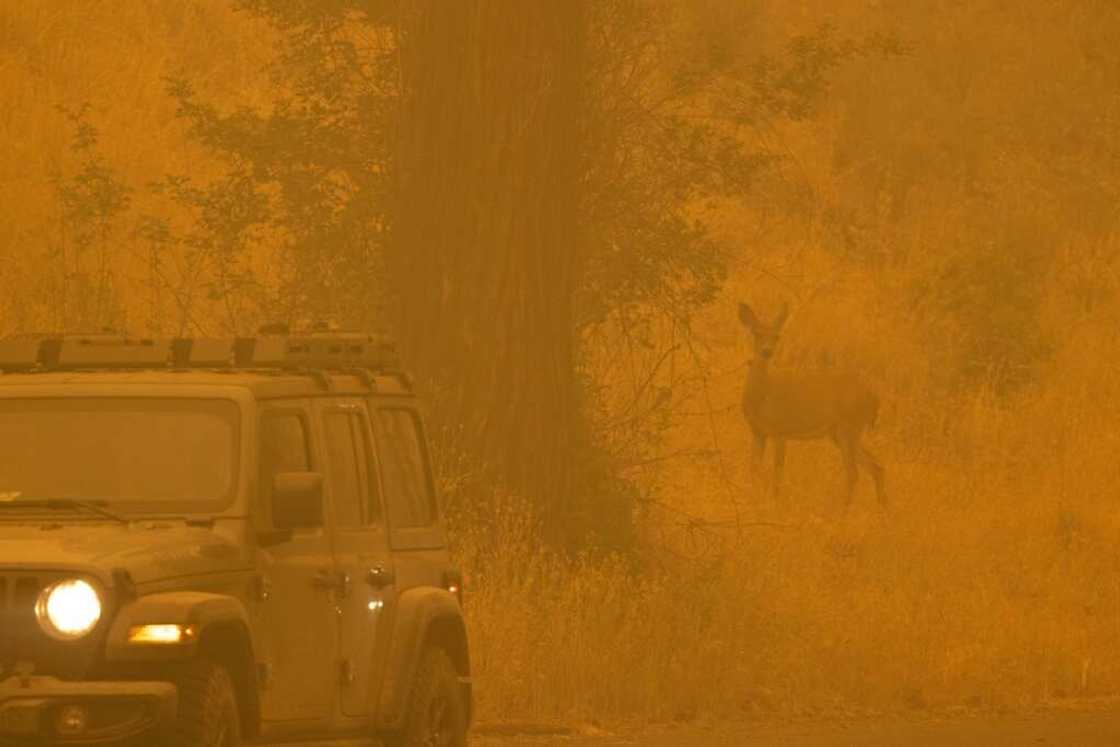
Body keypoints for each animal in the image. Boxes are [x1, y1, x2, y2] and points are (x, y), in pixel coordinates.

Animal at [737, 300, 886, 512]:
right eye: (757, 333)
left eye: (777, 336)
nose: (767, 350)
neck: (763, 396)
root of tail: (874, 398)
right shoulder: (757, 431)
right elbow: (754, 469)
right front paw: (753, 498)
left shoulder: (780, 430)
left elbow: (777, 472)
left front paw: (774, 502)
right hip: (840, 434)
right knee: (876, 466)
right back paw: (884, 511)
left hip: (849, 427)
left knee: (853, 472)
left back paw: (842, 512)